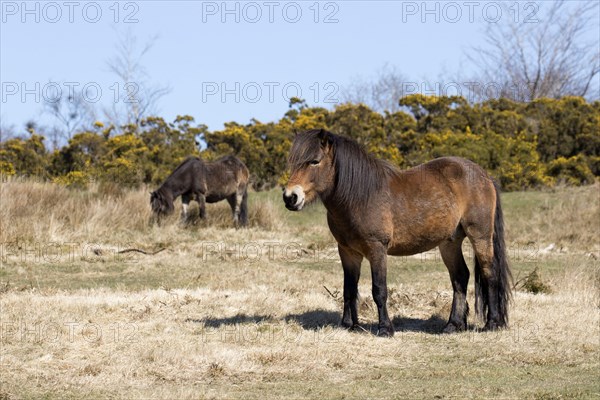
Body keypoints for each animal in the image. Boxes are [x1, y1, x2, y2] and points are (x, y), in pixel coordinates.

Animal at [282, 130, 510, 336]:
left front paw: (385, 329)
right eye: (292, 162)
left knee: (490, 273)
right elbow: (349, 289)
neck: (360, 197)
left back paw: (492, 324)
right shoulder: (347, 252)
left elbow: (379, 290)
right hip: (449, 242)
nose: (290, 197)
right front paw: (349, 325)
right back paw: (453, 325)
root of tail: (484, 176)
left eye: (314, 161)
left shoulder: (377, 249)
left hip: (480, 236)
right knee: (460, 277)